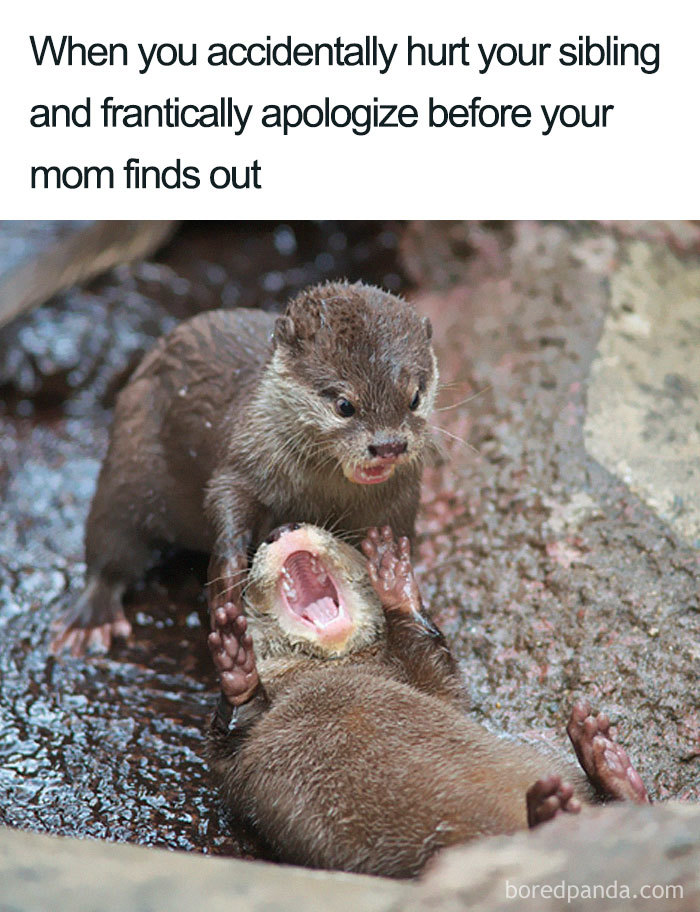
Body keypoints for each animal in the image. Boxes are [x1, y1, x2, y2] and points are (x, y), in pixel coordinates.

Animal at [54, 282, 438, 654]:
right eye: (345, 405)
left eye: (414, 398)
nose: (389, 446)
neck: (320, 497)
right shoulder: (243, 463)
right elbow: (225, 501)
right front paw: (227, 582)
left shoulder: (401, 504)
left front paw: (393, 575)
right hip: (126, 464)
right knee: (111, 542)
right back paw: (91, 621)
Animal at [206, 523, 650, 879]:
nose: (280, 529)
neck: (324, 674)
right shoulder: (237, 765)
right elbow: (230, 744)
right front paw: (237, 666)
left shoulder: (432, 686)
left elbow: (436, 667)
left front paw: (395, 580)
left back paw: (603, 761)